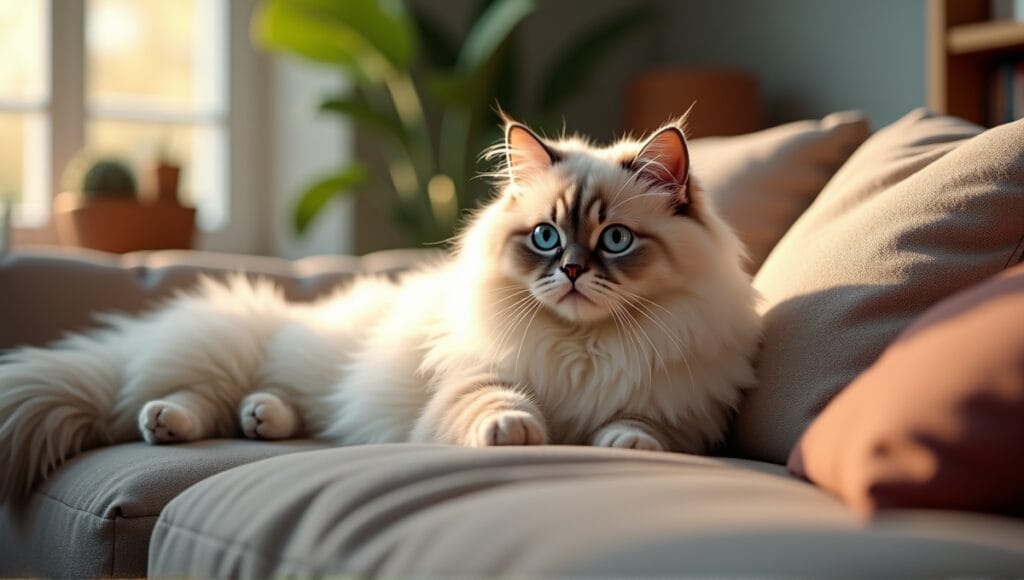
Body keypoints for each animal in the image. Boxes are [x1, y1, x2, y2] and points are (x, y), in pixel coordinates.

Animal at [0, 117, 761, 500]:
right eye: (545, 237)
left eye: (615, 240)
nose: (571, 271)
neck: (584, 344)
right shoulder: (473, 379)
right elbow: (498, 404)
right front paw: (520, 432)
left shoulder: (680, 410)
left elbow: (640, 425)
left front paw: (622, 444)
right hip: (232, 352)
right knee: (182, 398)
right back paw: (169, 423)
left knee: (274, 407)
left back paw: (260, 419)